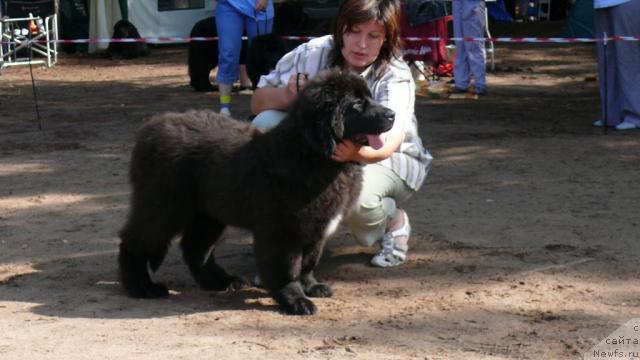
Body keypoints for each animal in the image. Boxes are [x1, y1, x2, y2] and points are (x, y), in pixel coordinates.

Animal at [117, 68, 392, 316]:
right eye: (357, 103)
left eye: (369, 97)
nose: (392, 114)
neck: (311, 153)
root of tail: (151, 129)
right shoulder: (283, 229)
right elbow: (288, 268)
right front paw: (295, 300)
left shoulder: (316, 225)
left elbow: (308, 262)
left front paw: (312, 287)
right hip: (164, 204)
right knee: (135, 241)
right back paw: (142, 287)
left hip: (209, 212)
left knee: (195, 248)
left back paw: (221, 281)